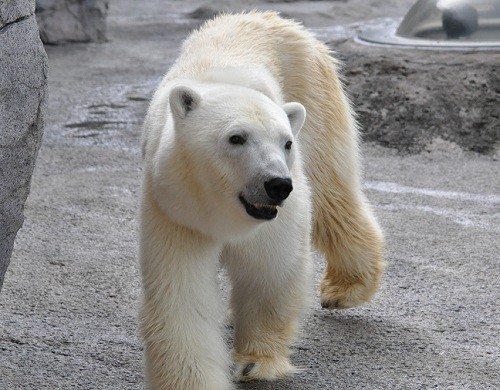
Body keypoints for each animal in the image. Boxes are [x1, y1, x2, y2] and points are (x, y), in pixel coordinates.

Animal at [139, 10, 384, 390]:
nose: (277, 185)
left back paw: (345, 288)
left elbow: (269, 269)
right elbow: (181, 294)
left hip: (314, 94)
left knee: (332, 194)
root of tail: (268, 16)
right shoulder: (175, 209)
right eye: (236, 138)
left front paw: (256, 362)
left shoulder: (274, 217)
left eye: (285, 142)